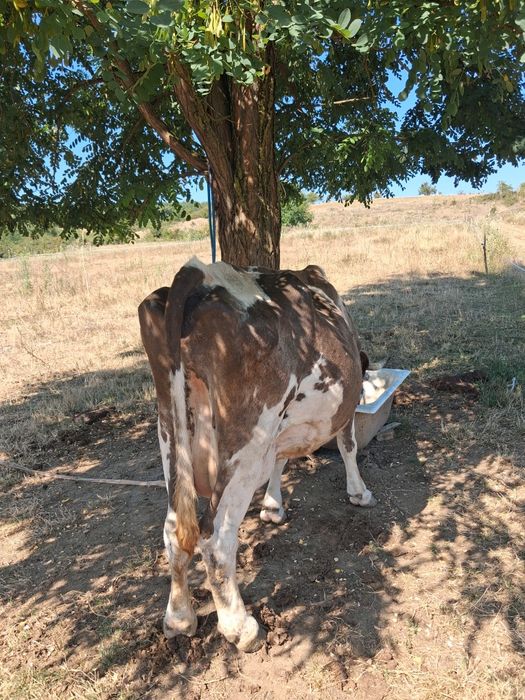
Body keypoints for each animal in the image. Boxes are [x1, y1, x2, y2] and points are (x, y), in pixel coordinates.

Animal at [138, 257, 375, 653]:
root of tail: (200, 273)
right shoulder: (342, 406)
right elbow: (348, 445)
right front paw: (359, 493)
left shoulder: (276, 435)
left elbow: (280, 460)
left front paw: (272, 506)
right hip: (248, 436)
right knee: (215, 537)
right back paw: (240, 627)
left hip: (170, 429)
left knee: (175, 530)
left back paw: (179, 618)